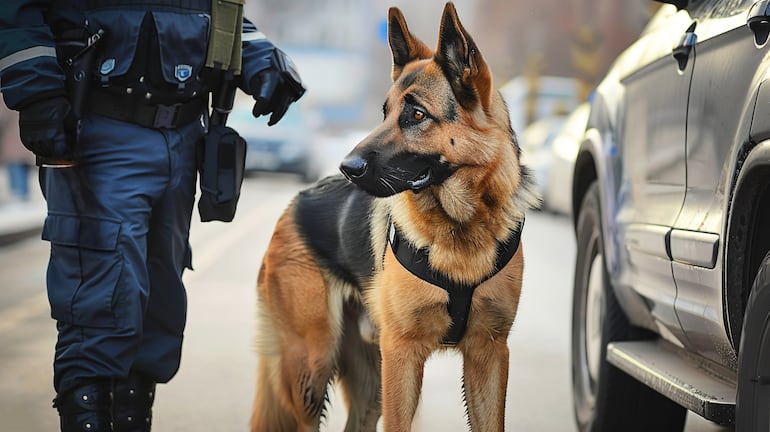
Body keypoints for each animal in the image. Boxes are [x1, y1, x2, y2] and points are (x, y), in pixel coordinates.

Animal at [250, 2, 536, 428]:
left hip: (370, 382)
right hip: (312, 368)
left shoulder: (489, 354)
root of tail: (293, 204)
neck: (460, 227)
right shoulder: (403, 354)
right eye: (384, 113)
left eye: (416, 115)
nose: (346, 167)